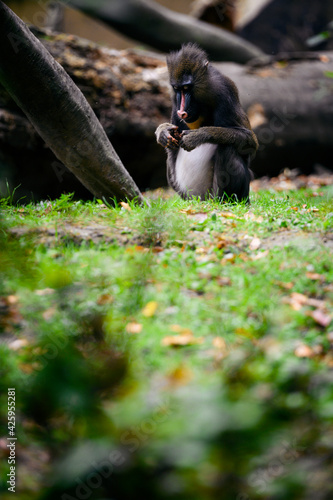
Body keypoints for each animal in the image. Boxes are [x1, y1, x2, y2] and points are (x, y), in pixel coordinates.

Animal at [154, 43, 258, 202]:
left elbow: (250, 141)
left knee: (227, 147)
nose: (181, 111)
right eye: (177, 89)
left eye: (187, 88)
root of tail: (201, 199)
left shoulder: (226, 93)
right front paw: (163, 132)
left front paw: (198, 136)